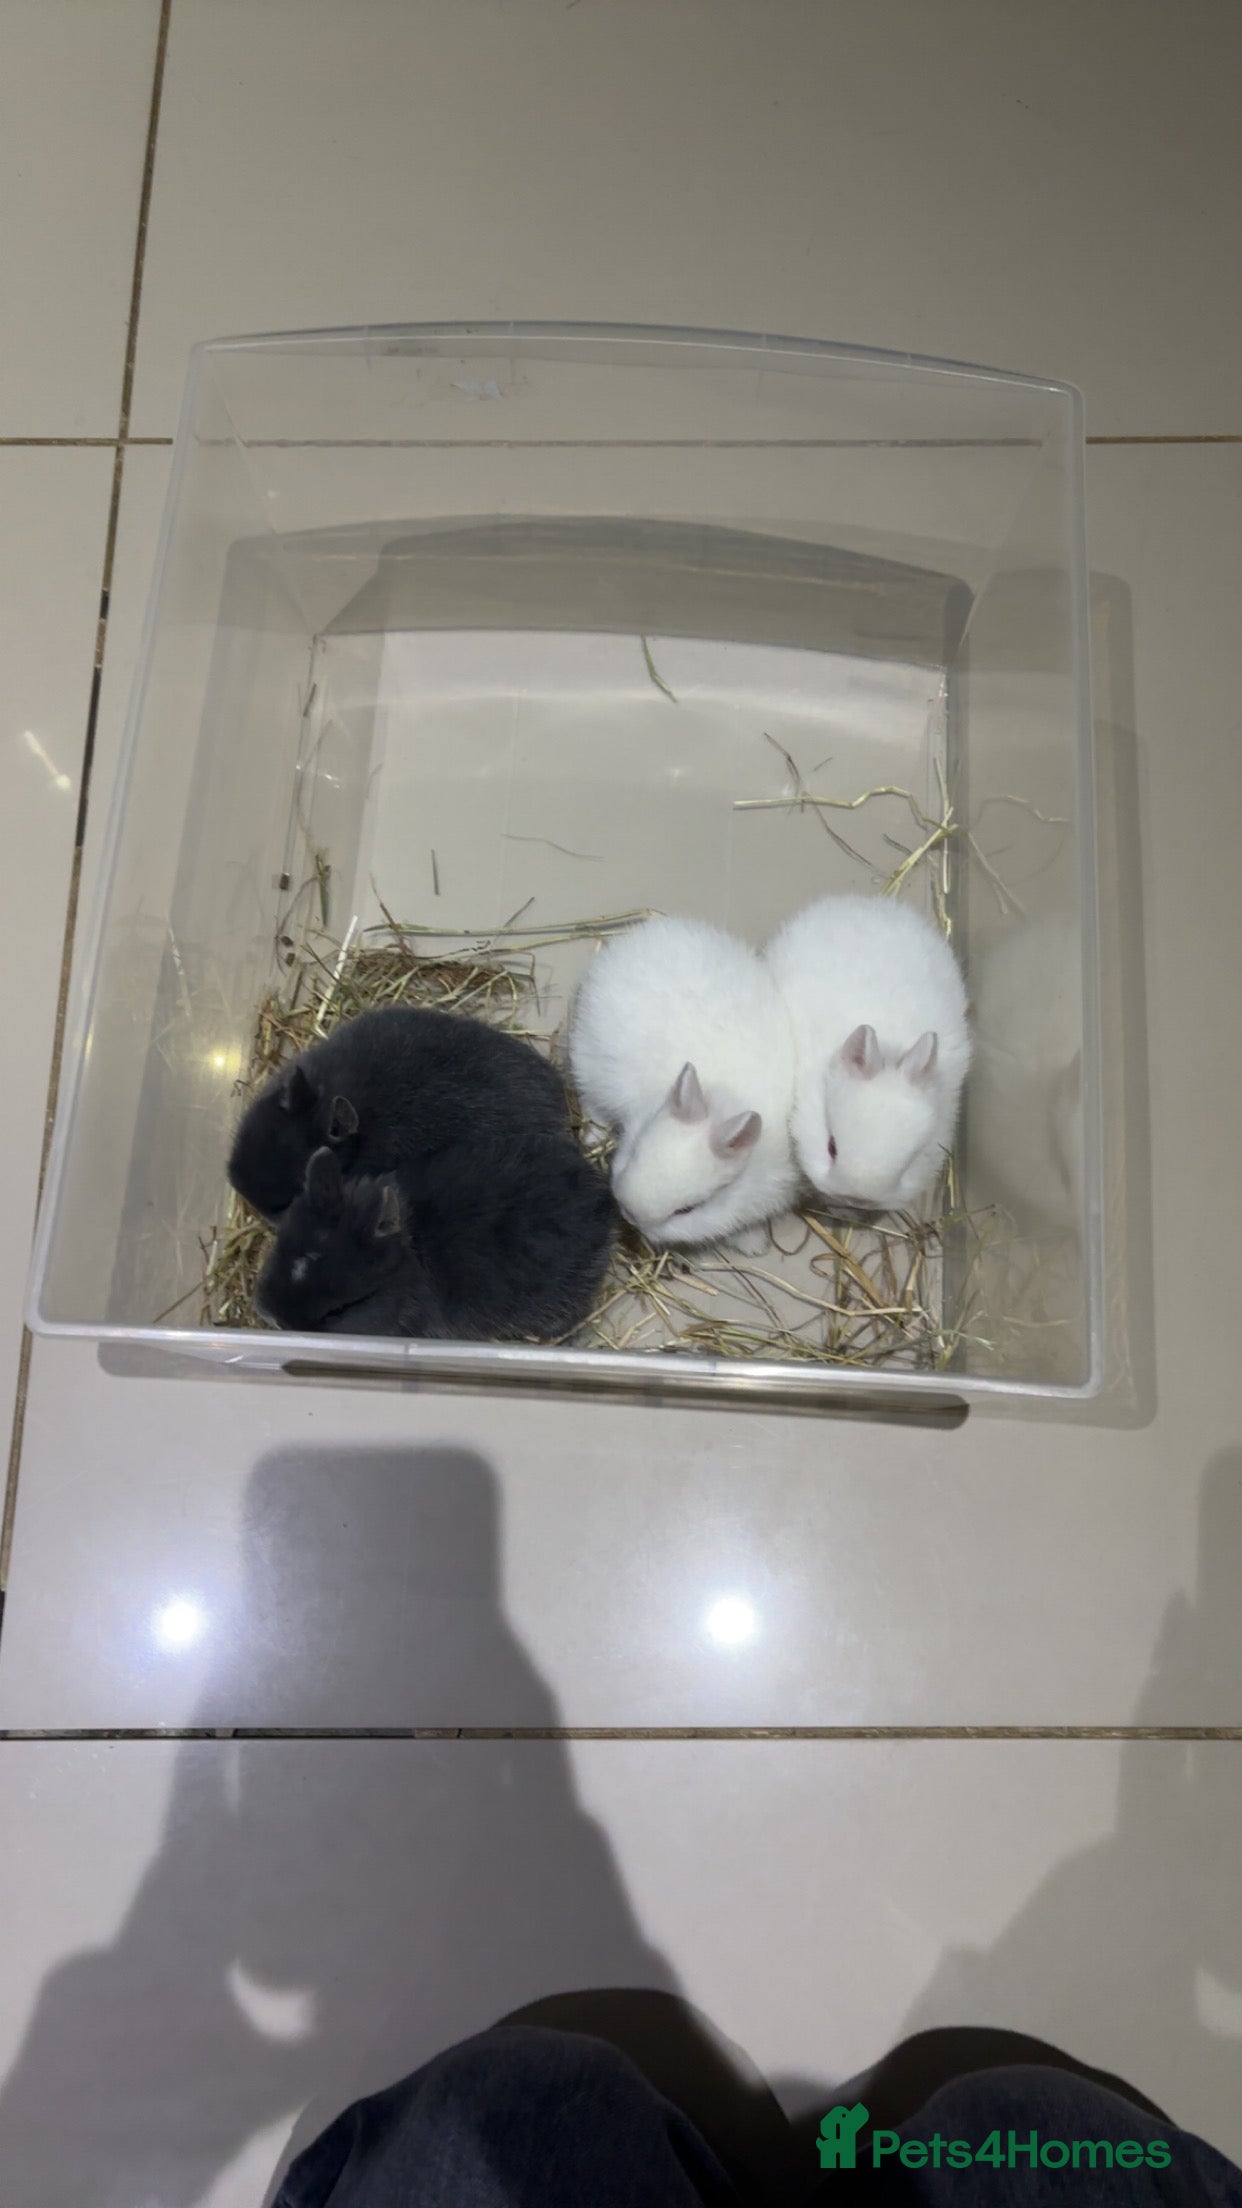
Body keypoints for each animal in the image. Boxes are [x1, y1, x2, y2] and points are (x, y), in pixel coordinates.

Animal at [568, 915, 798, 1247]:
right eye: (634, 1151)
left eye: (687, 1210)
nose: (629, 1215)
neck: (722, 1096)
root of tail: (641, 934)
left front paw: (753, 1244)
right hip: (588, 1059)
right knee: (592, 1103)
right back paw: (593, 1137)